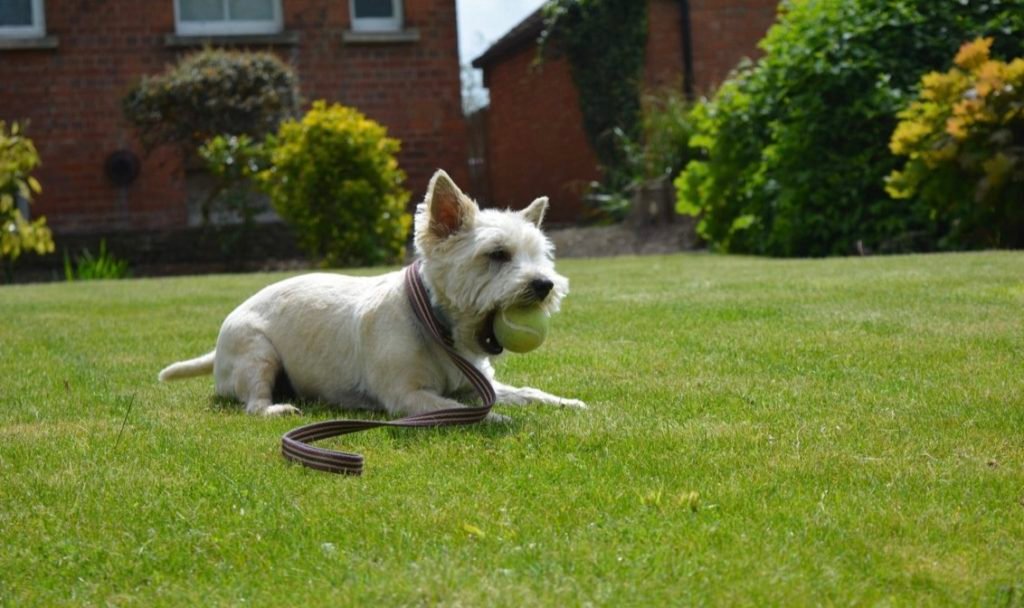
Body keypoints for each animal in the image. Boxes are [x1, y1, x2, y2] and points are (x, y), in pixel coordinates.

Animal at [156, 169, 589, 417]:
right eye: (497, 254)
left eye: (541, 255)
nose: (544, 285)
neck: (437, 328)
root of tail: (217, 351)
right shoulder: (407, 397)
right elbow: (456, 408)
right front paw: (495, 418)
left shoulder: (479, 385)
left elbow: (527, 392)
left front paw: (565, 402)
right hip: (257, 353)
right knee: (253, 403)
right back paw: (277, 408)